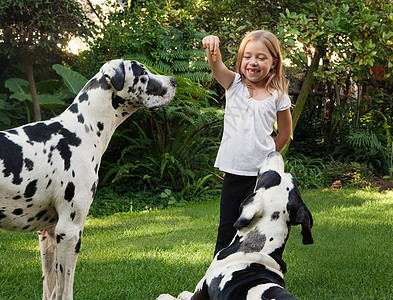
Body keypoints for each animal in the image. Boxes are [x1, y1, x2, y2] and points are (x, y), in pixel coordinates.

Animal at [0, 59, 176, 300]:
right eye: (143, 72)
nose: (174, 80)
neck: (83, 128)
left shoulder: (49, 233)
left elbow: (50, 289)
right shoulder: (70, 231)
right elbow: (65, 291)